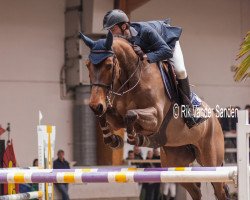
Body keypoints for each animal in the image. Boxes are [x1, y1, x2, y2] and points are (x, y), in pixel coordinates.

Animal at [80, 32, 227, 199]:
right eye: (87, 65)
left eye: (109, 65)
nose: (95, 106)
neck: (133, 77)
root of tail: (215, 119)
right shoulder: (116, 117)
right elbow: (107, 117)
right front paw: (113, 139)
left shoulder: (156, 117)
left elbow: (131, 115)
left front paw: (136, 138)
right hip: (176, 163)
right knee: (195, 191)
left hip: (211, 161)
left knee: (220, 190)